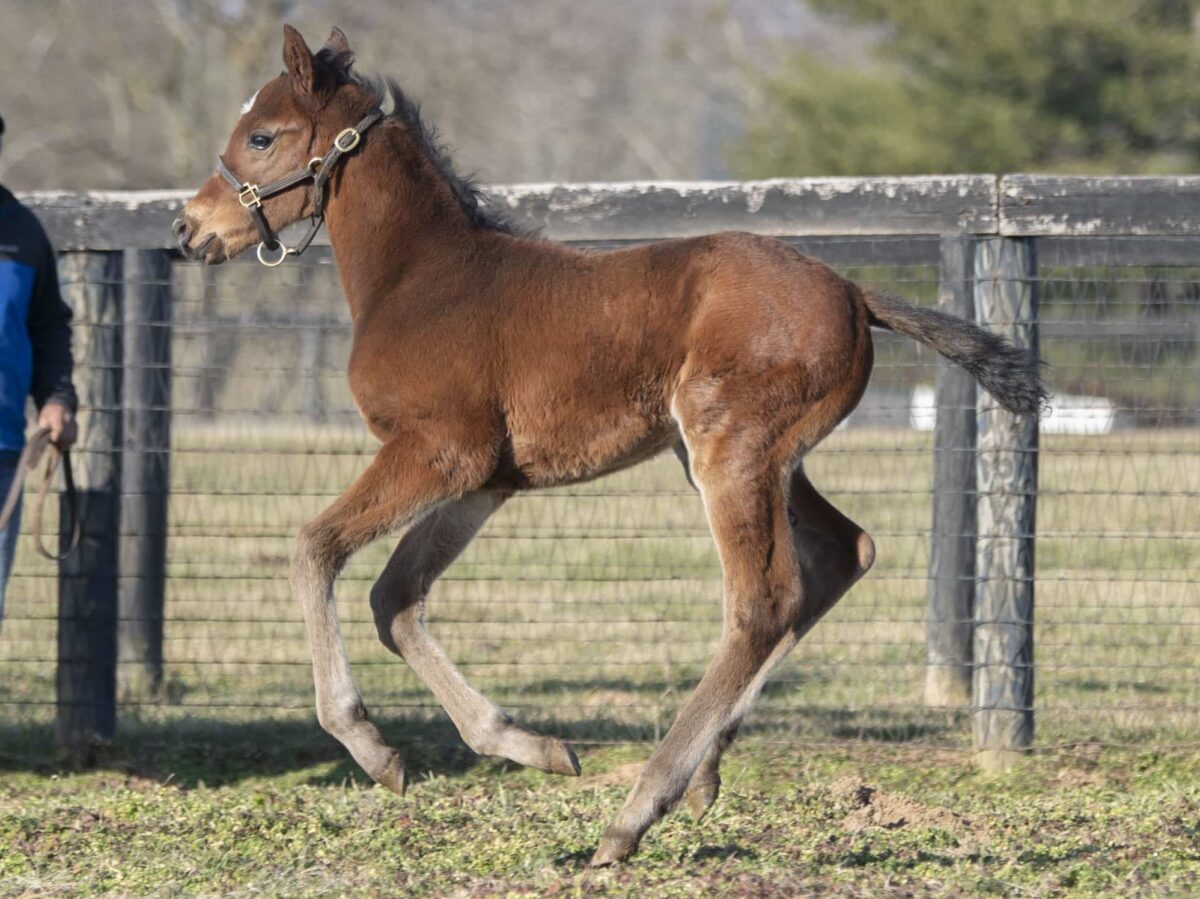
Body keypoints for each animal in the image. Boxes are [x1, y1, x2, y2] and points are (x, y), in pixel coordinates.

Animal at [174, 22, 1046, 864]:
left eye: (262, 136)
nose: (188, 226)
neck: (421, 280)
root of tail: (853, 292)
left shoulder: (438, 452)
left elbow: (314, 547)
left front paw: (368, 744)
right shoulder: (488, 478)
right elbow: (396, 597)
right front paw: (529, 744)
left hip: (729, 447)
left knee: (764, 600)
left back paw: (636, 812)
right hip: (754, 457)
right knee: (842, 553)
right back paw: (706, 767)